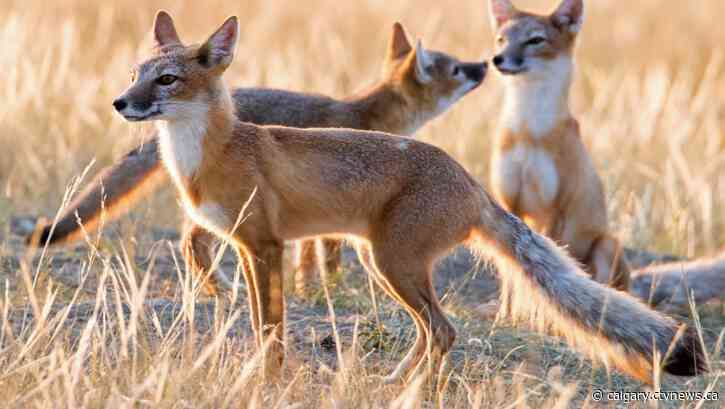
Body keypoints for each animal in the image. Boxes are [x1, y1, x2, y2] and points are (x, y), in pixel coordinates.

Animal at [28, 21, 487, 297]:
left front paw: (306, 289)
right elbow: (327, 254)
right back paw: (220, 291)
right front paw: (331, 288)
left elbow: (306, 255)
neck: (368, 113)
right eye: (458, 70)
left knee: (192, 241)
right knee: (191, 240)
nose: (484, 64)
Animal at [488, 0, 631, 291]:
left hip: (606, 245)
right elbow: (511, 280)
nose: (498, 59)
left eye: (535, 40)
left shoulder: (554, 210)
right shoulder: (509, 205)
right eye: (501, 39)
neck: (527, 130)